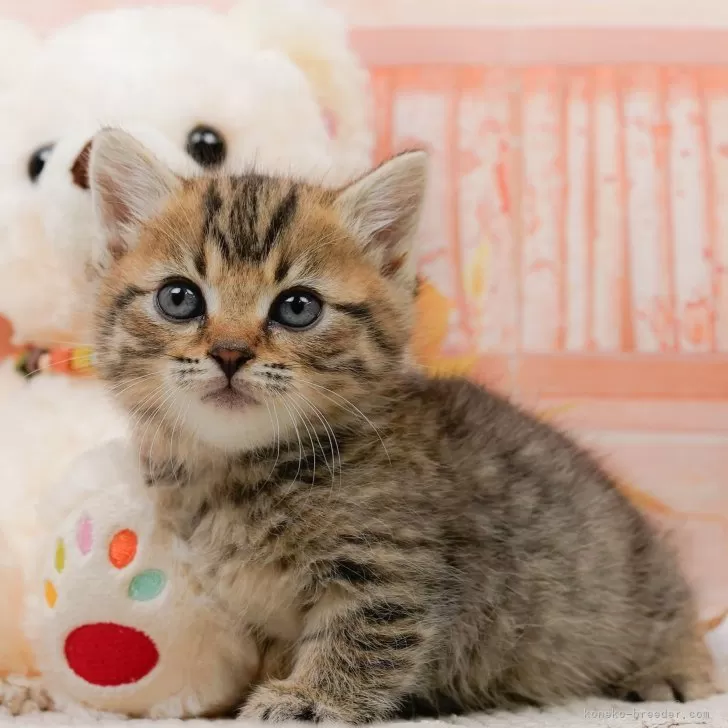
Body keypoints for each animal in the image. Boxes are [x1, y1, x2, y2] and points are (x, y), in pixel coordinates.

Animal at [88, 129, 712, 724]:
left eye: (297, 307)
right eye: (179, 298)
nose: (230, 352)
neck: (242, 473)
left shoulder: (392, 566)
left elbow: (365, 636)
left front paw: (310, 697)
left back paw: (672, 670)